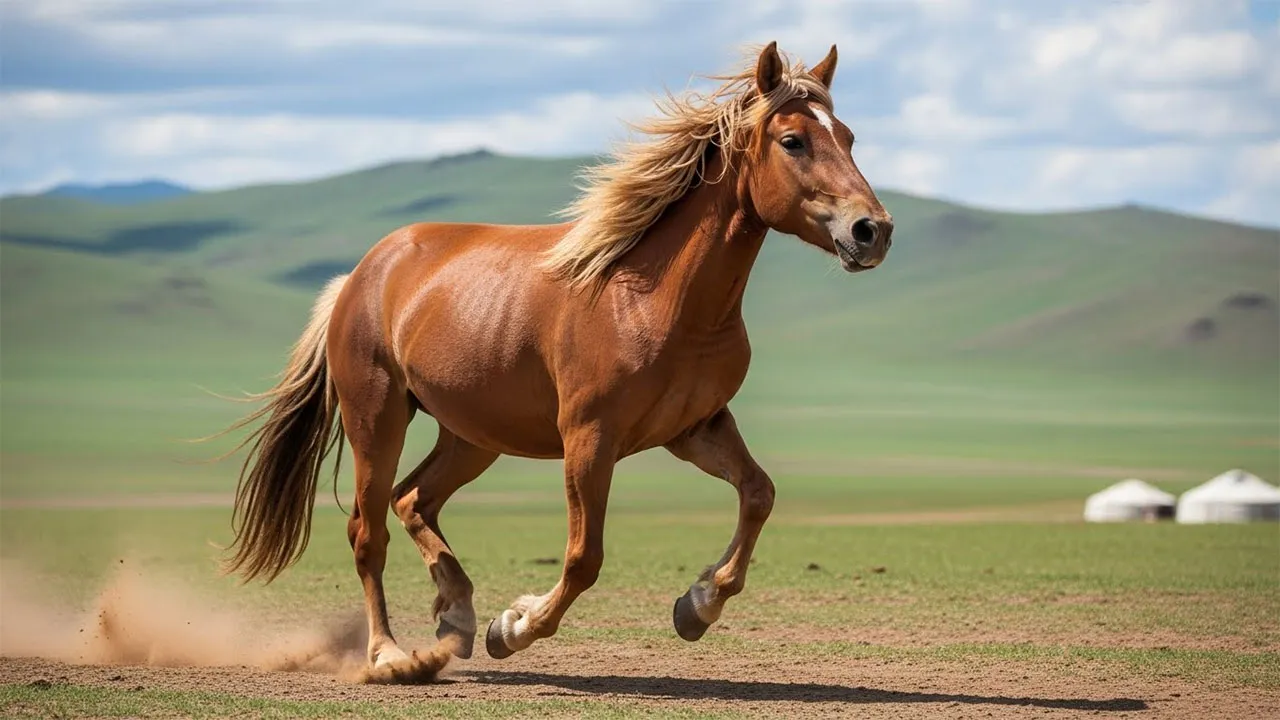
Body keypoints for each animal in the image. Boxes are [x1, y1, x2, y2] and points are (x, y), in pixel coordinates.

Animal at [221, 42, 893, 679]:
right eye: (792, 140)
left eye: (849, 137)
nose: (873, 230)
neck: (658, 300)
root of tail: (360, 274)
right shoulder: (589, 438)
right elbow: (583, 557)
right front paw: (514, 627)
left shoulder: (695, 428)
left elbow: (759, 493)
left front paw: (697, 604)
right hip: (377, 418)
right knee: (368, 532)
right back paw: (390, 655)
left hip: (473, 435)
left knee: (412, 500)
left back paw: (456, 614)